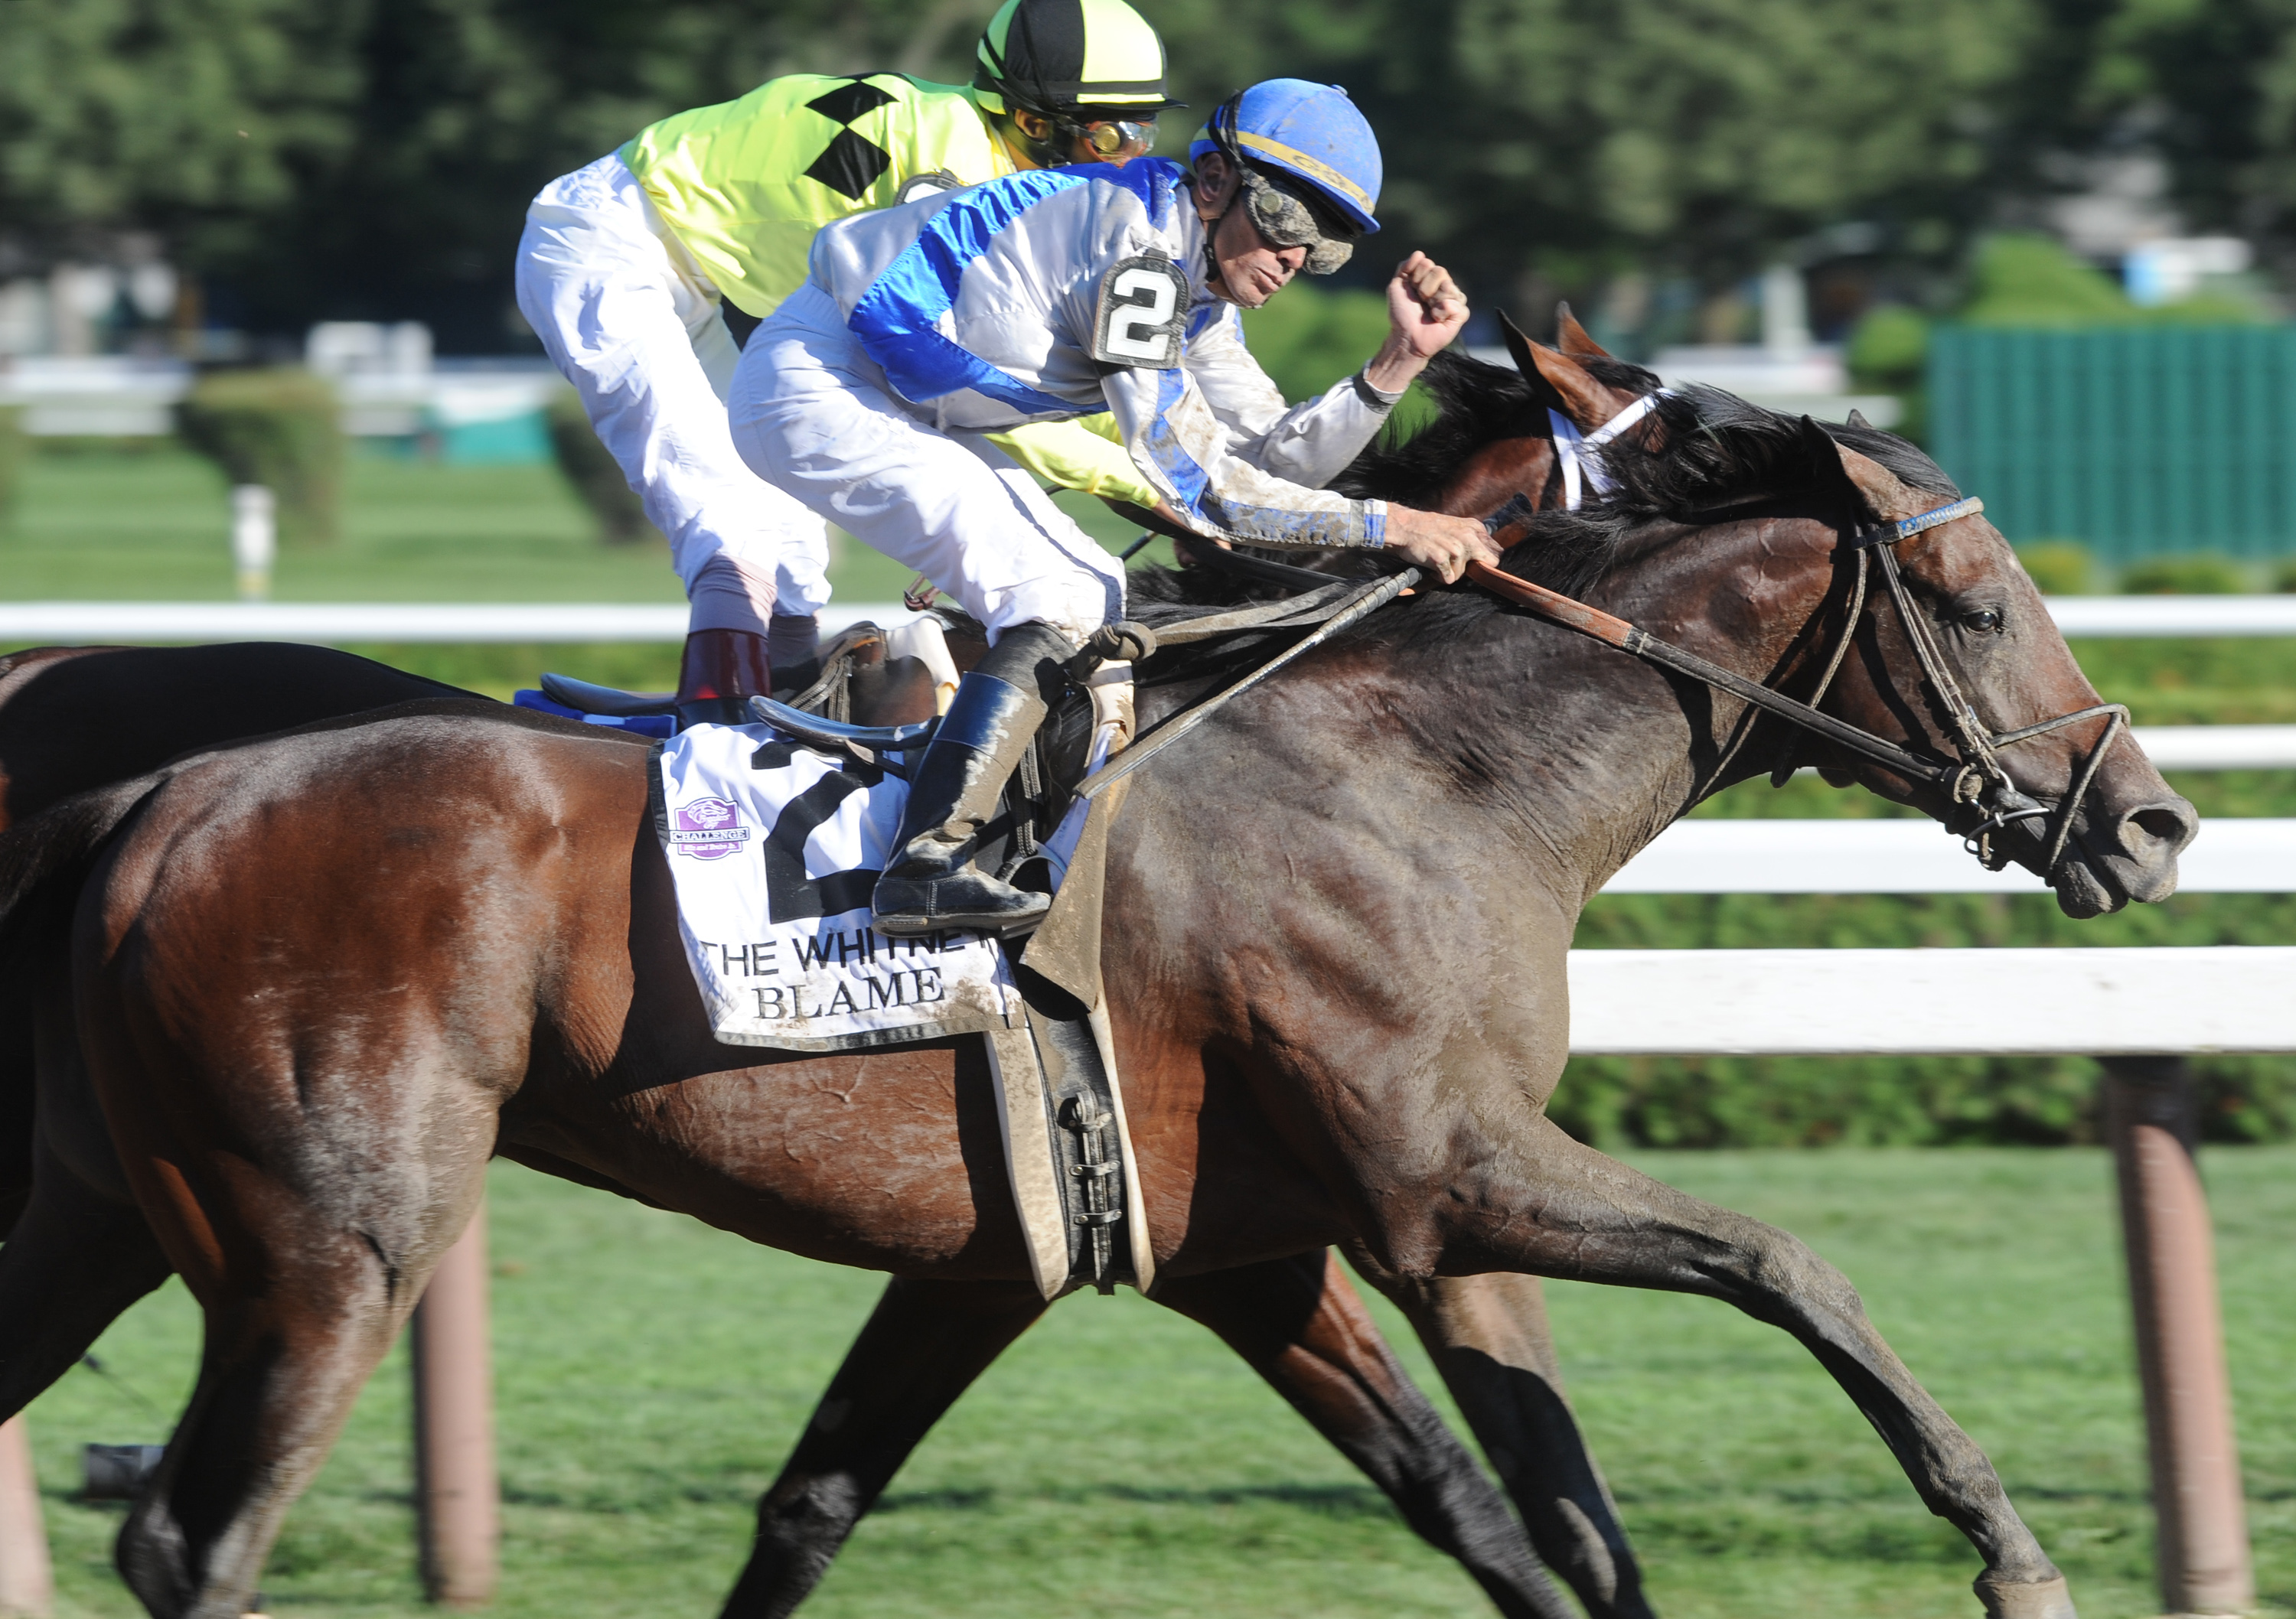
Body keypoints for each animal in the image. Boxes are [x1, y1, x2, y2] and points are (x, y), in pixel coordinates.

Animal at [0, 356, 2186, 1616]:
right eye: (1977, 600)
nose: (2150, 822)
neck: (1426, 773)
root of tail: (152, 802)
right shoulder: (1444, 1179)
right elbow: (1785, 1260)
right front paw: (2006, 1547)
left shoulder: (1200, 1241)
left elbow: (1535, 1514)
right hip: (336, 1240)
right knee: (201, 1533)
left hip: (103, 1209)